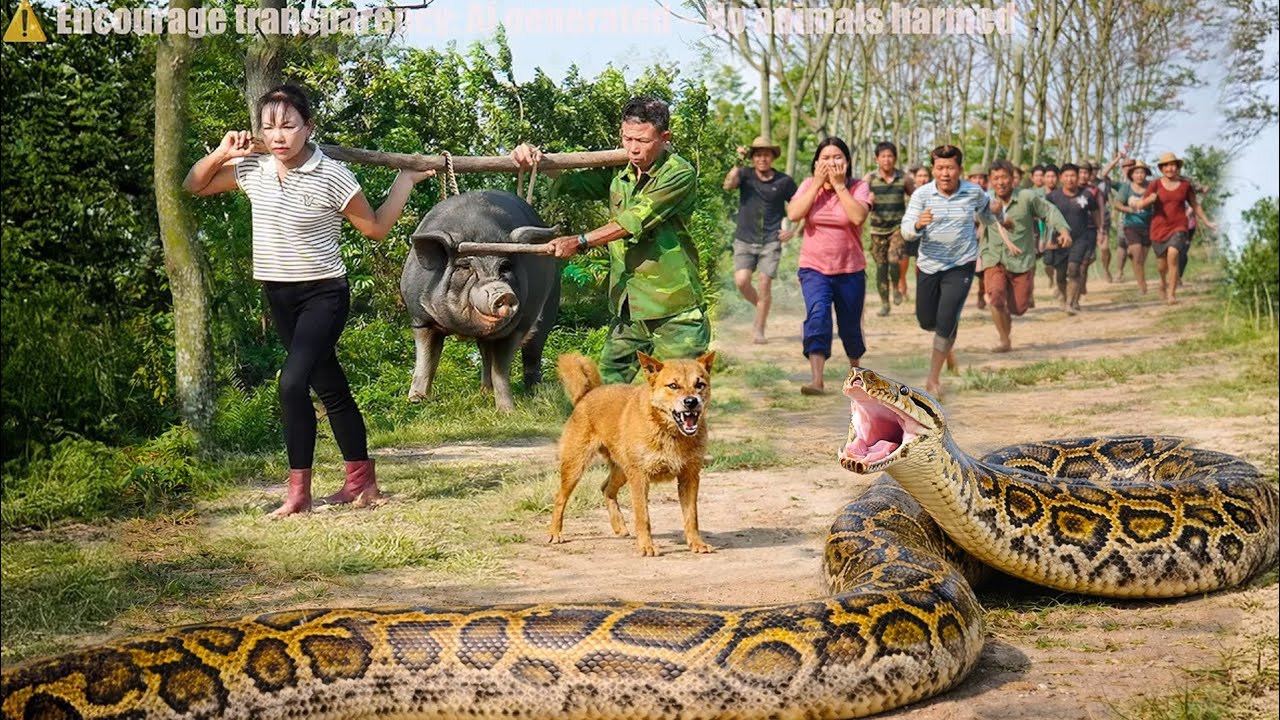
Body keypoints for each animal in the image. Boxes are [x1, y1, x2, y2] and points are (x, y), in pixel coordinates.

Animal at [401, 191, 562, 412]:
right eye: (465, 267)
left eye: (505, 266)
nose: (503, 294)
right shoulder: (421, 318)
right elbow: (426, 360)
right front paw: (415, 401)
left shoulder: (516, 328)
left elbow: (500, 370)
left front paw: (507, 412)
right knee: (486, 352)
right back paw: (485, 393)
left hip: (550, 303)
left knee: (532, 352)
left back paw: (534, 393)